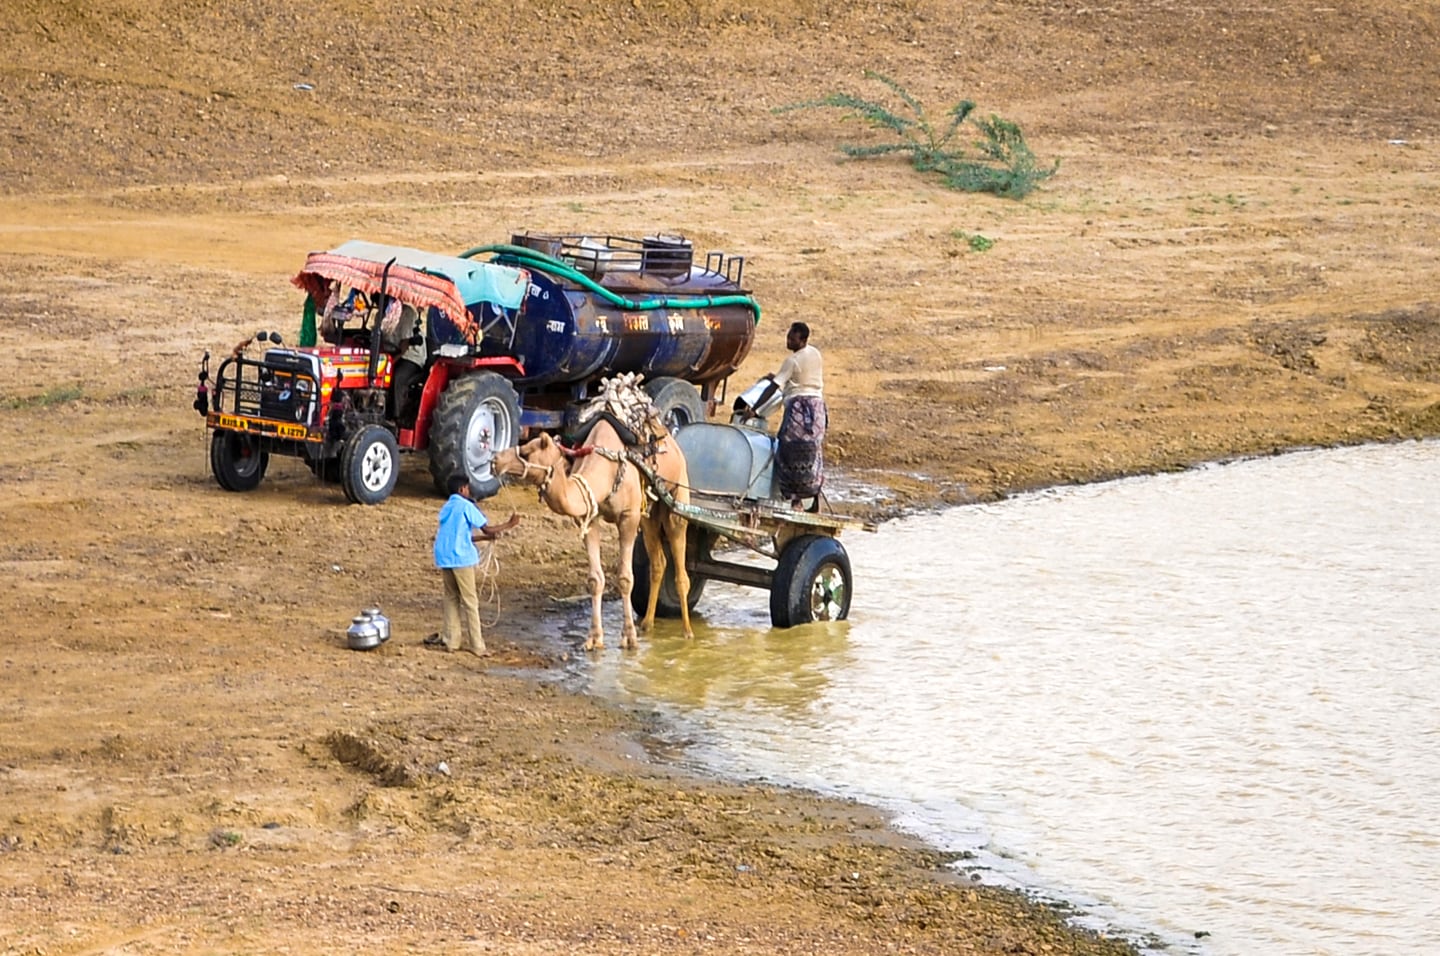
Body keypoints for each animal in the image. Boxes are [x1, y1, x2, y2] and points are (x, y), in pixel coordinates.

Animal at [498, 411, 694, 650]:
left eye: (526, 452)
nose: (496, 460)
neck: (605, 472)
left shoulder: (628, 517)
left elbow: (625, 578)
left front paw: (629, 638)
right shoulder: (591, 517)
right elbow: (595, 579)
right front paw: (594, 638)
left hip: (676, 499)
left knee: (680, 569)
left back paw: (687, 632)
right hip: (649, 513)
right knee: (658, 563)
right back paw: (647, 624)